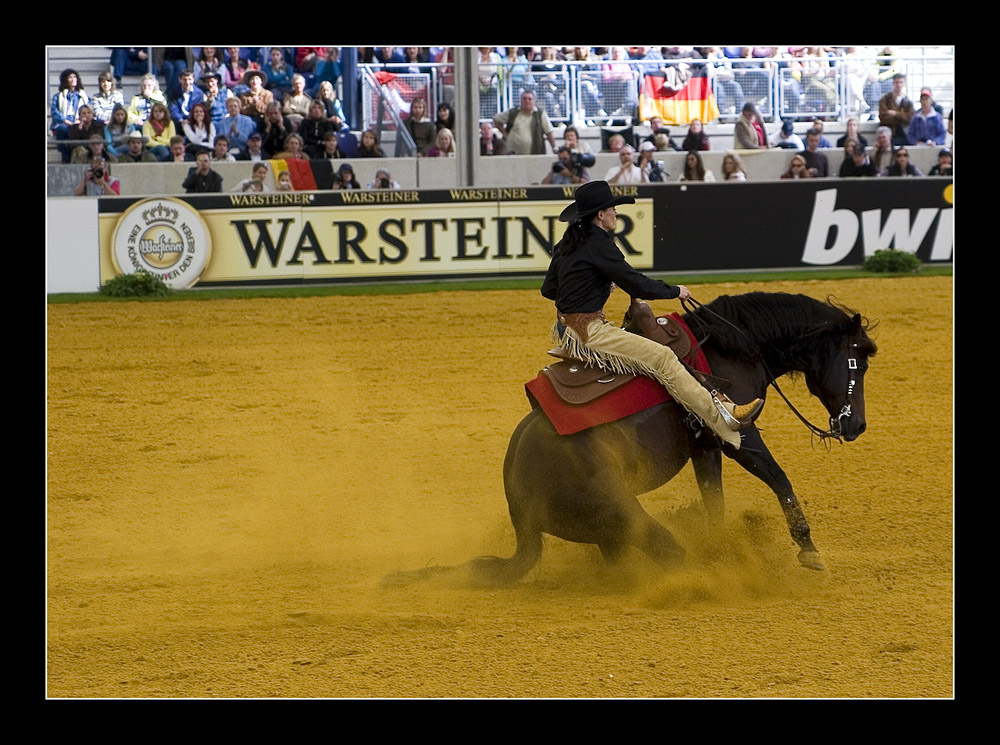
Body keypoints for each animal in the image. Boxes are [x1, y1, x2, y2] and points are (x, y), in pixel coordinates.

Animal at [382, 290, 876, 588]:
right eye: (858, 360)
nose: (855, 426)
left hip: (610, 533)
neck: (731, 347)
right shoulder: (738, 433)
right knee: (669, 553)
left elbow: (713, 500)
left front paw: (723, 544)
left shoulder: (705, 448)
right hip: (626, 513)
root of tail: (520, 505)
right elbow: (778, 478)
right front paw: (808, 550)